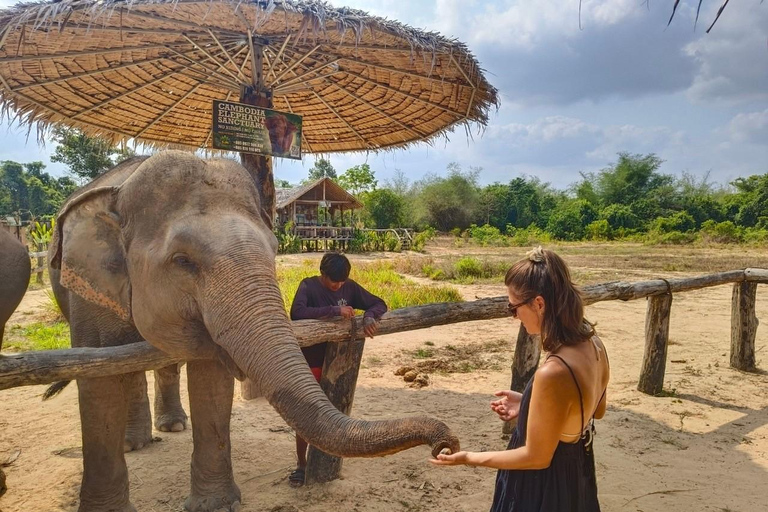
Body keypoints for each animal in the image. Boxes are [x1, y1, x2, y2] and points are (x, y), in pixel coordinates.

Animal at [48, 151, 458, 512]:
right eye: (182, 261)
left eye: (276, 247)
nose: (446, 446)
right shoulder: (87, 287)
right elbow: (97, 383)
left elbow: (211, 378)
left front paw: (216, 506)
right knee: (123, 367)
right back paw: (135, 444)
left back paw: (171, 427)